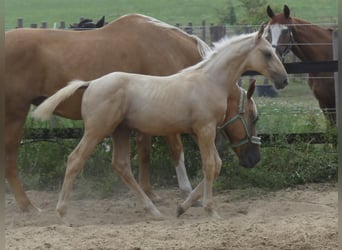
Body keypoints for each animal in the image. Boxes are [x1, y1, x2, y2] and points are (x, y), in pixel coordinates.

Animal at [4, 13, 211, 212]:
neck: (170, 49)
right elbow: (176, 150)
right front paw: (188, 193)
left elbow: (145, 152)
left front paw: (150, 194)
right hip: (15, 113)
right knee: (10, 158)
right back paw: (27, 205)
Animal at [32, 24, 288, 221]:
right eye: (267, 53)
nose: (283, 79)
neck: (208, 80)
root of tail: (91, 83)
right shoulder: (204, 129)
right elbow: (211, 165)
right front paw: (210, 210)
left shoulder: (202, 131)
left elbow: (216, 165)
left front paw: (182, 207)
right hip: (97, 130)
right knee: (76, 159)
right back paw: (62, 211)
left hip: (120, 131)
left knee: (121, 165)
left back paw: (153, 211)